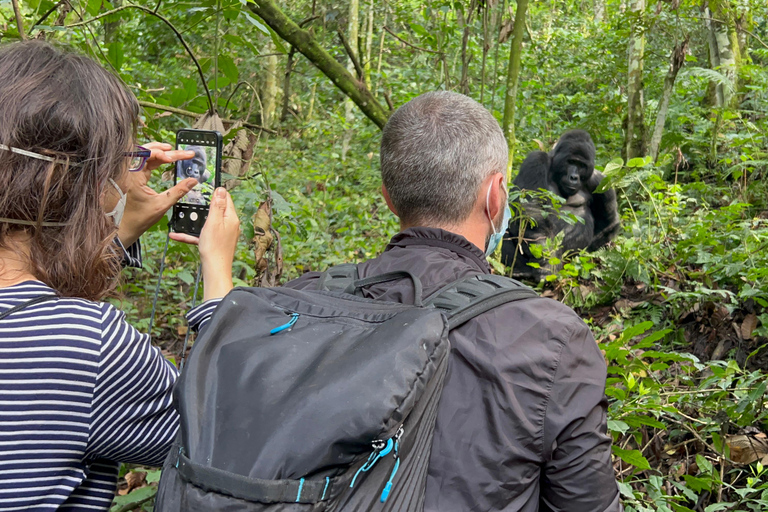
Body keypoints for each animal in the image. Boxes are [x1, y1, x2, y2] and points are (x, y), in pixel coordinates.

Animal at [500, 130, 620, 278]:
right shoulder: (536, 160)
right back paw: (522, 270)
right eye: (571, 162)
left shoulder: (601, 181)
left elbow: (610, 223)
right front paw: (547, 263)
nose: (574, 177)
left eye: (582, 166)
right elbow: (530, 210)